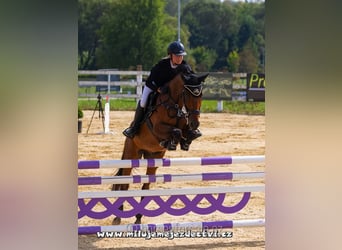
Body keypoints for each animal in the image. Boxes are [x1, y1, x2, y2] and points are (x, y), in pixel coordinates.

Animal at [112, 70, 208, 225]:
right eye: (187, 95)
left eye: (201, 95)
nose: (195, 123)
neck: (174, 105)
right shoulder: (157, 128)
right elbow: (176, 131)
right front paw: (172, 142)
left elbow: (187, 133)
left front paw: (185, 142)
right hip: (131, 155)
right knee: (124, 184)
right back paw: (118, 216)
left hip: (154, 158)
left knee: (146, 186)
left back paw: (138, 217)